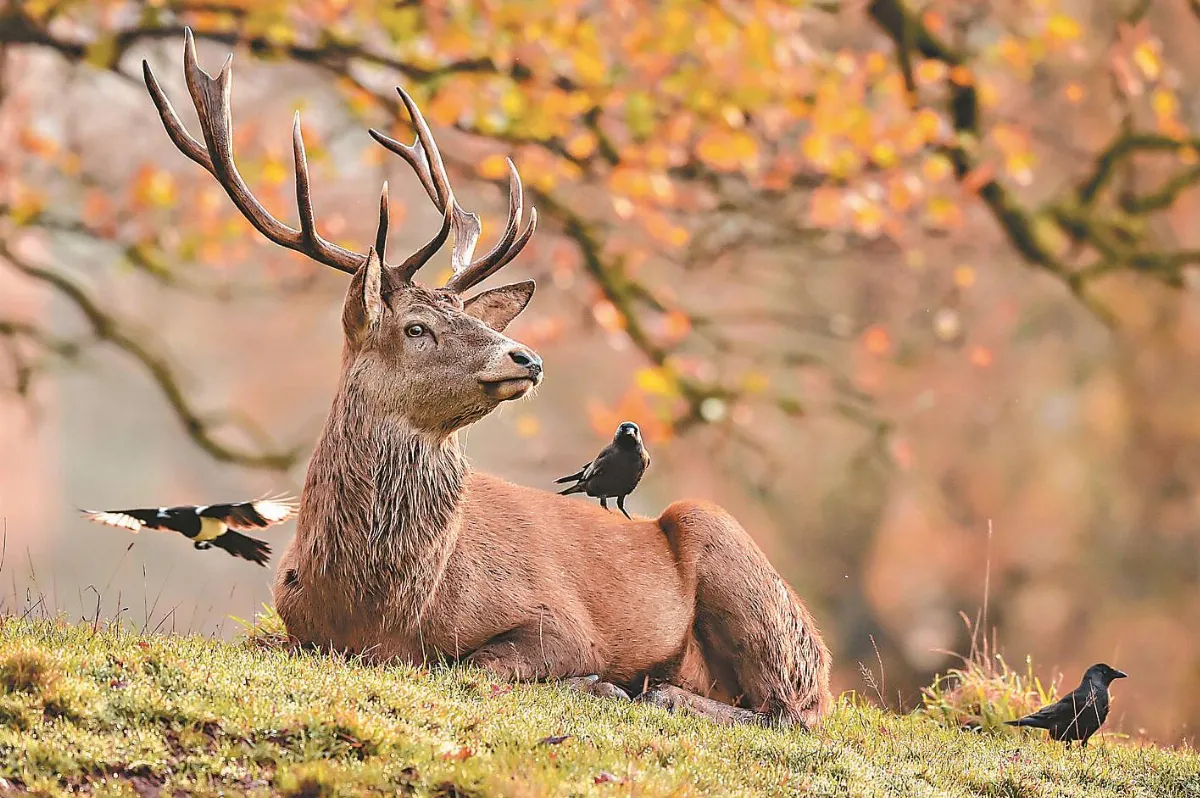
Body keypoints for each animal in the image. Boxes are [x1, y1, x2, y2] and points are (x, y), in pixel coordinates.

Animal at [142, 30, 832, 728]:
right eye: (417, 327)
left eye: (469, 318)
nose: (526, 357)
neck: (380, 614)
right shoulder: (290, 622)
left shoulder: (562, 621)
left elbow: (476, 664)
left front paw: (603, 684)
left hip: (732, 555)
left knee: (792, 709)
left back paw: (659, 690)